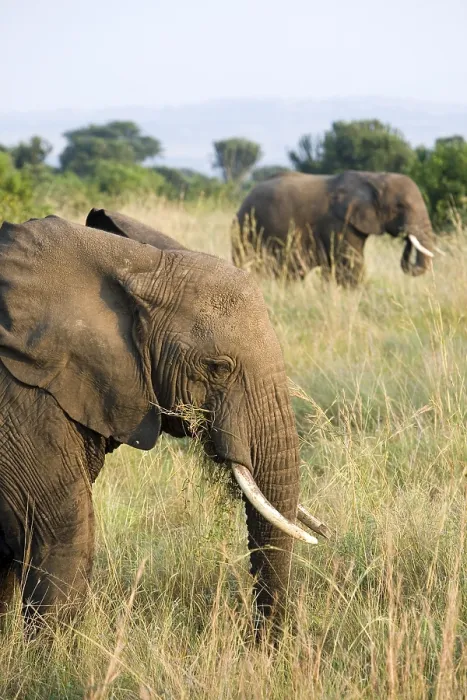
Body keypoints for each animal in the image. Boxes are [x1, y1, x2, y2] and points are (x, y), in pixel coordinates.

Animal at [234, 171, 435, 286]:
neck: (374, 178)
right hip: (245, 229)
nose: (406, 236)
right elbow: (350, 262)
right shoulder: (339, 223)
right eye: (400, 207)